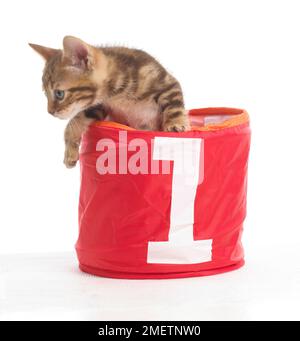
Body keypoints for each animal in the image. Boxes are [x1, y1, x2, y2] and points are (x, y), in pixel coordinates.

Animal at [29, 35, 189, 167]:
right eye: (45, 93)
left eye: (59, 94)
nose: (50, 112)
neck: (116, 93)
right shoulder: (100, 105)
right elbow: (75, 121)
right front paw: (70, 151)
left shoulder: (166, 82)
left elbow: (174, 104)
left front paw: (175, 123)